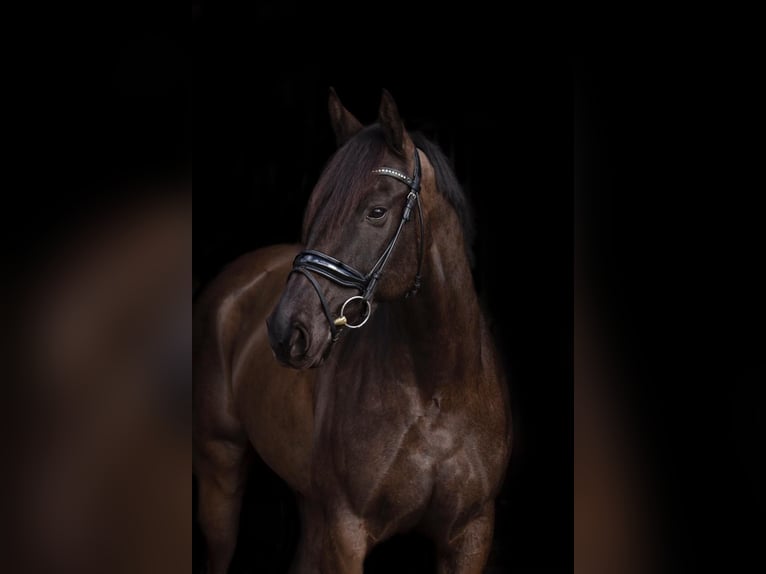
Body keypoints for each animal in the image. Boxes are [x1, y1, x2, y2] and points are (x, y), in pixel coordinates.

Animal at [195, 90, 512, 574]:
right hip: (221, 468)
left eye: (376, 212)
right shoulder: (346, 531)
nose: (287, 331)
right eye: (314, 207)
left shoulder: (471, 533)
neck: (436, 387)